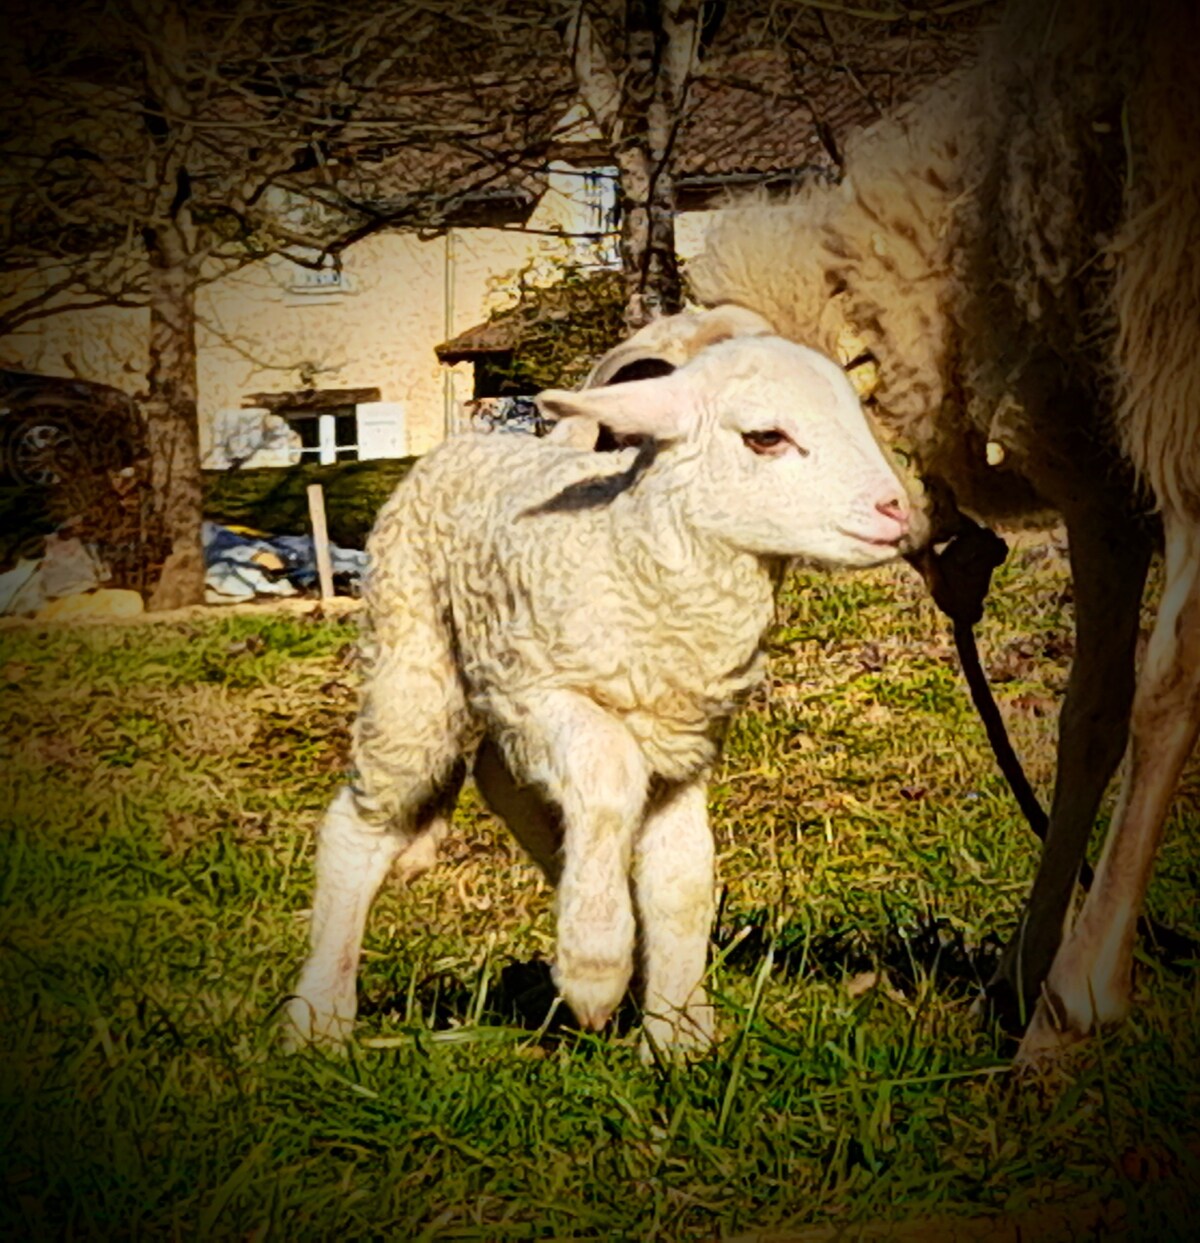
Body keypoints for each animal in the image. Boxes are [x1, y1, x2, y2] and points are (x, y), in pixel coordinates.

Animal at [288, 330, 910, 1049]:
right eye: (765, 437)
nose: (896, 511)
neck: (629, 551)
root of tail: (465, 445)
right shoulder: (536, 686)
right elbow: (612, 776)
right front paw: (595, 965)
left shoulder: (683, 744)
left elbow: (681, 877)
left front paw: (678, 1031)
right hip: (412, 654)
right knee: (363, 823)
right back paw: (319, 1015)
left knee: (502, 776)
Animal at [676, 0, 1198, 1059]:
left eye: (757, 434)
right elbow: (1088, 721)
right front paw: (1023, 964)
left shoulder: (1100, 450)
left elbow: (1102, 715)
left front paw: (1047, 981)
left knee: (1174, 675)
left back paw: (1077, 1001)